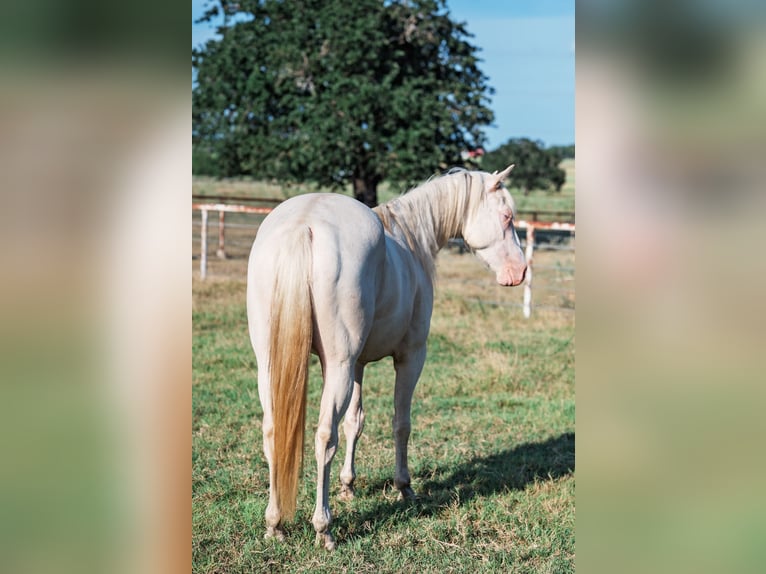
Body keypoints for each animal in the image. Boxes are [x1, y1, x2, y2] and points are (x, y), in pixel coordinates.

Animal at [246, 165, 526, 549]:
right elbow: (400, 423)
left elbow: (355, 422)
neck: (410, 242)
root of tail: (304, 225)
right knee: (324, 438)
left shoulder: (358, 365)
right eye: (507, 216)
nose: (520, 272)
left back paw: (274, 523)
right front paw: (404, 487)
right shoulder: (410, 357)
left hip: (272, 367)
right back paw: (323, 527)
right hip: (338, 366)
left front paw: (348, 485)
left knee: (273, 431)